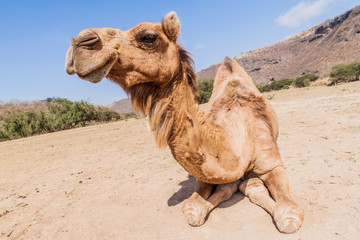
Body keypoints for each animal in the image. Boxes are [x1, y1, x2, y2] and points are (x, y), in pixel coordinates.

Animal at [64, 11, 304, 234]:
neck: (235, 137)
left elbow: (288, 215)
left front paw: (251, 184)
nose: (79, 42)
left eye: (149, 37)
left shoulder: (272, 162)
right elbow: (193, 208)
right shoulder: (208, 172)